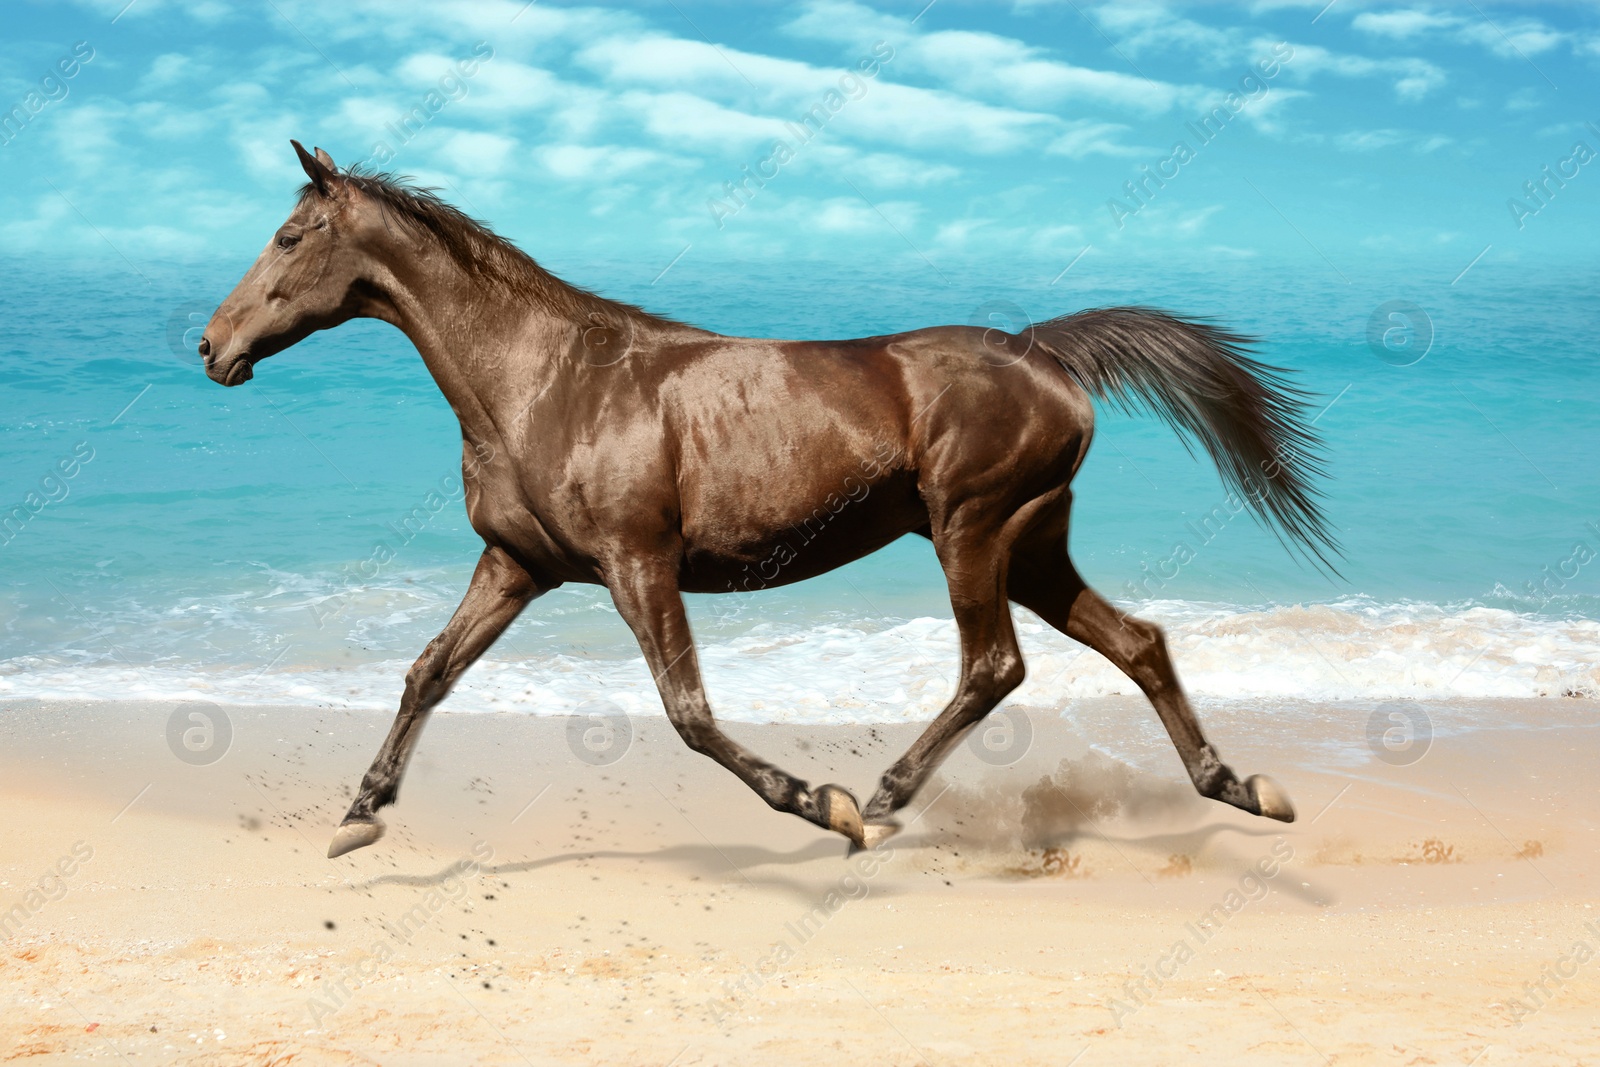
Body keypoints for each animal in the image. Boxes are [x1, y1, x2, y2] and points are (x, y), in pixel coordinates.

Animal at [200, 141, 1337, 857]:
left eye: (289, 238)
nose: (211, 346)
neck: (544, 378)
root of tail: (1040, 350)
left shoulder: (637, 562)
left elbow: (689, 712)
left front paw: (821, 804)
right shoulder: (516, 565)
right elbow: (427, 672)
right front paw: (358, 813)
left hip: (972, 527)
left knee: (995, 664)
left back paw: (882, 796)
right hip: (1029, 540)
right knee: (1136, 640)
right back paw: (1241, 786)